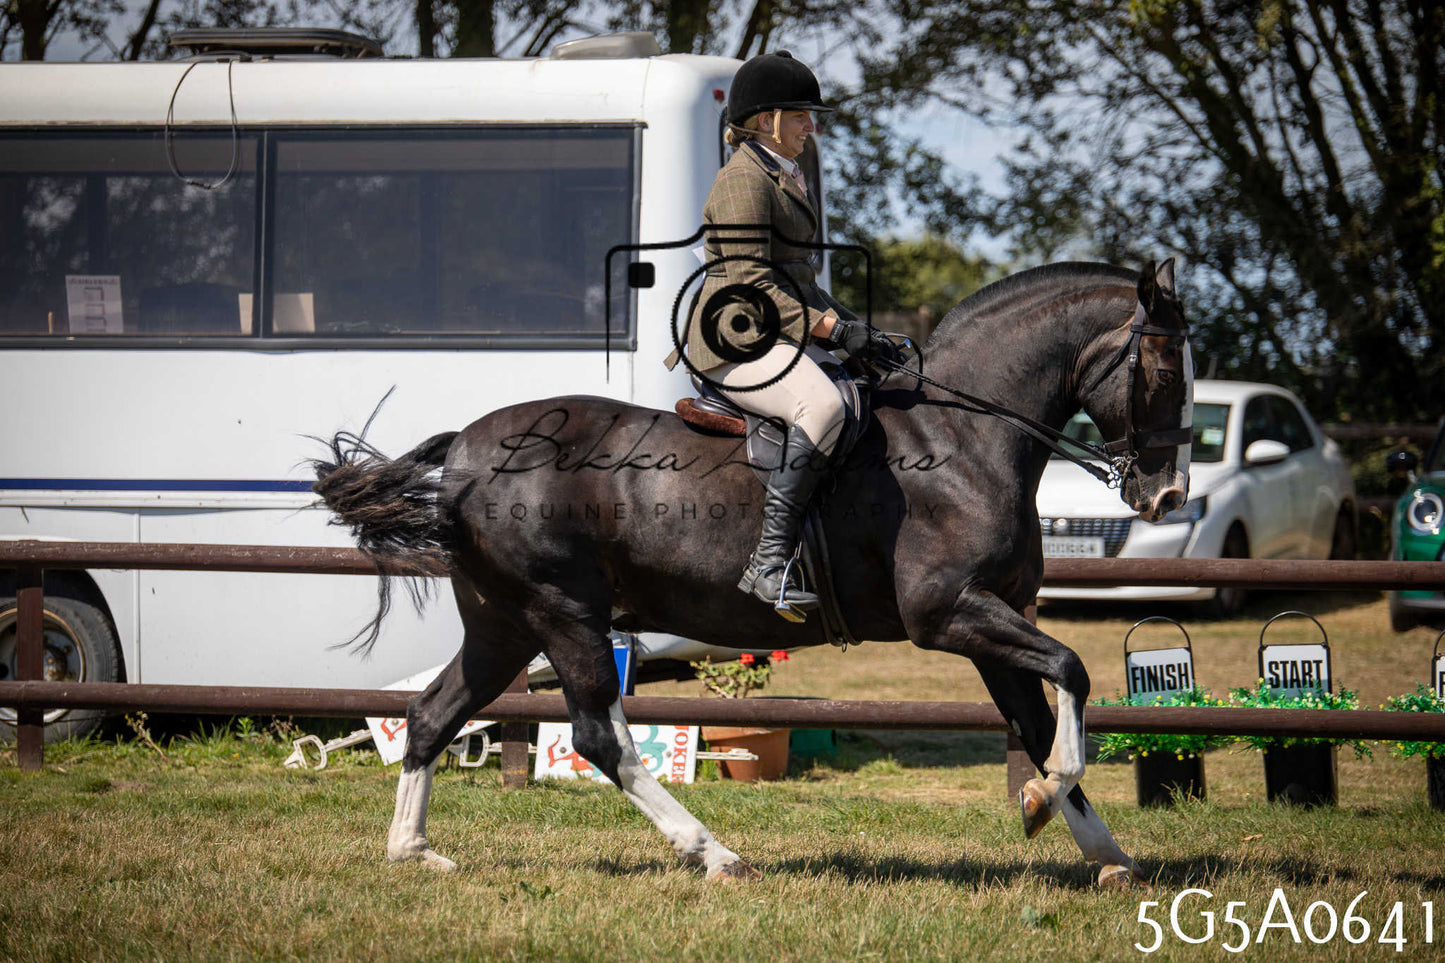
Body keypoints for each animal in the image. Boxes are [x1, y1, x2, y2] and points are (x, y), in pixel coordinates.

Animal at [312, 258, 1193, 887]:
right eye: (1161, 368)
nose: (1167, 494)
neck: (965, 437)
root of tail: (464, 447)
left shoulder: (990, 622)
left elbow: (1038, 724)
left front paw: (1104, 852)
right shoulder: (949, 613)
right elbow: (1071, 671)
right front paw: (1047, 802)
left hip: (502, 623)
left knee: (432, 714)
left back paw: (411, 850)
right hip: (564, 613)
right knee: (598, 735)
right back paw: (713, 852)